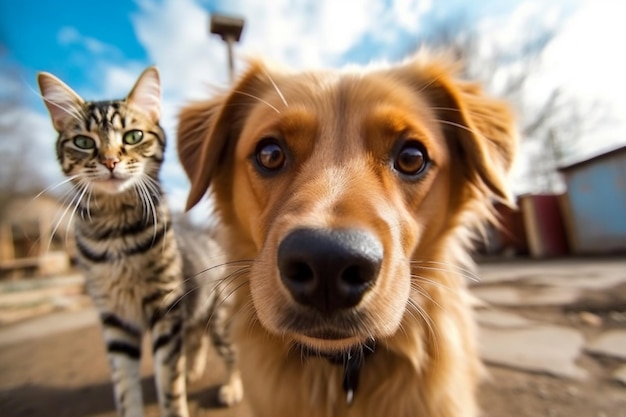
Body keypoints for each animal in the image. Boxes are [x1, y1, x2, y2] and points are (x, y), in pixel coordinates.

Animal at [37, 66, 241, 414]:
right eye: (83, 142)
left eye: (133, 136)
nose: (109, 161)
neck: (115, 233)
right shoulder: (114, 320)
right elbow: (124, 386)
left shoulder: (166, 310)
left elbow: (169, 385)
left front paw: (177, 400)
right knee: (196, 341)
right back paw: (193, 370)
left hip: (219, 318)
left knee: (229, 353)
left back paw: (231, 387)